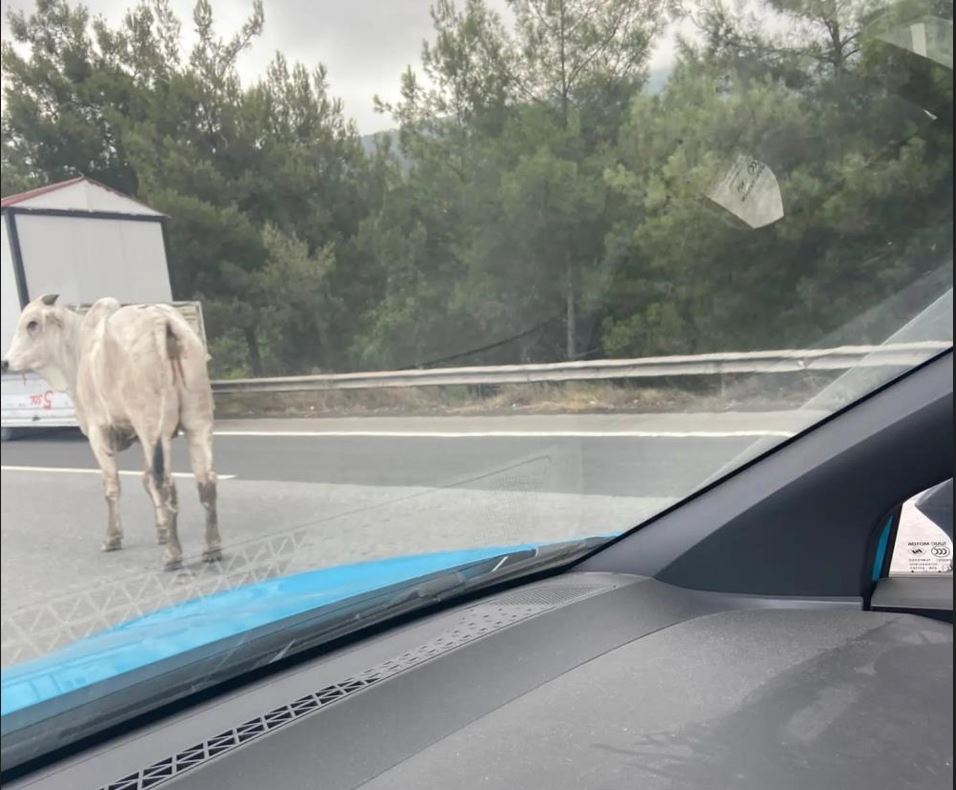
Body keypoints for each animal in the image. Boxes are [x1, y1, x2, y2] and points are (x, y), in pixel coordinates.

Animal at [2, 296, 222, 568]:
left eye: (32, 323)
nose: (5, 362)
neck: (79, 350)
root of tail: (162, 320)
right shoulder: (138, 436)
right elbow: (145, 480)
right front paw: (161, 530)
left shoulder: (98, 432)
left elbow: (112, 486)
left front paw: (113, 538)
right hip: (197, 421)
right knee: (205, 480)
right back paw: (212, 548)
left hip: (153, 427)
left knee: (166, 483)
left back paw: (172, 555)